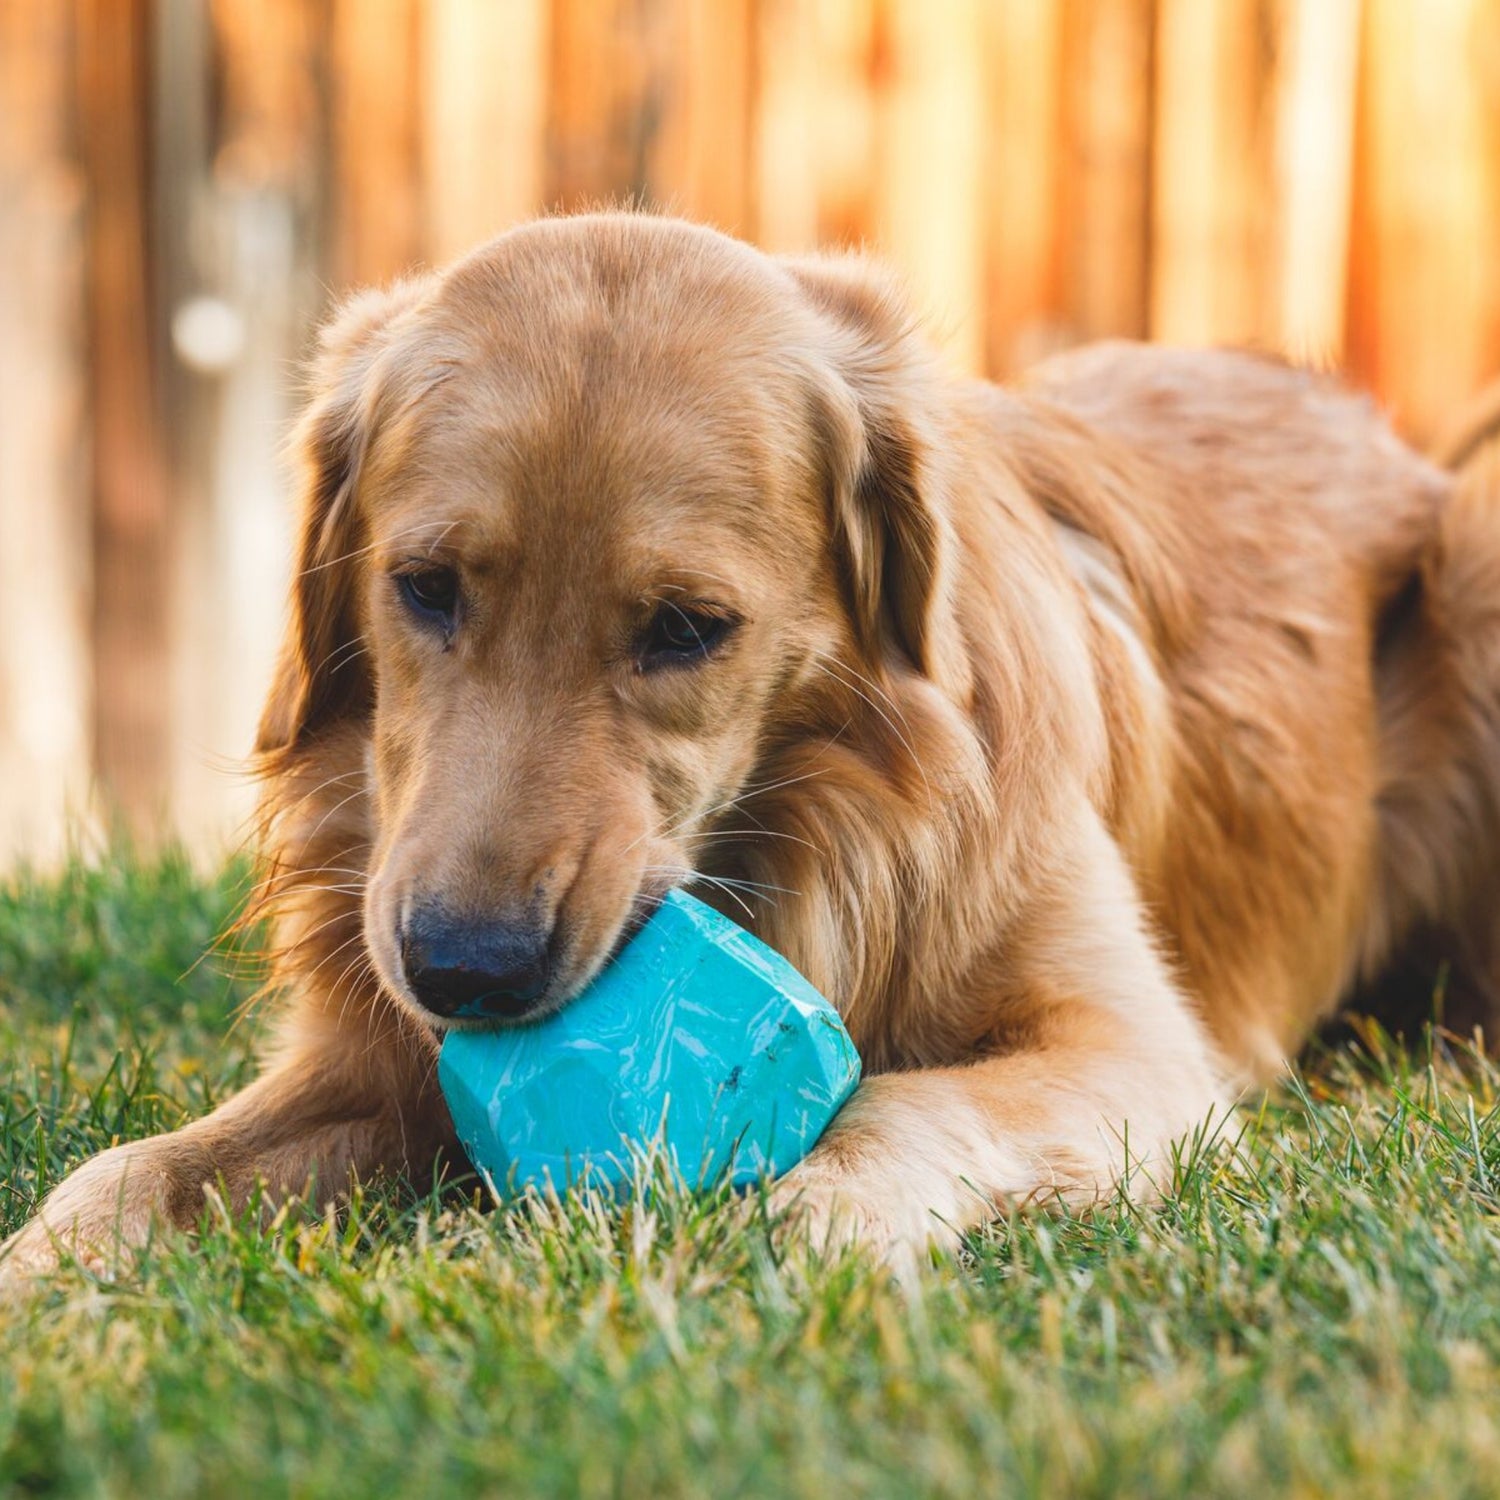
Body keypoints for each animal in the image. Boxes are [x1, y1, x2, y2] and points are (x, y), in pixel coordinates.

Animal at [2, 214, 1500, 1290]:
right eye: (423, 588)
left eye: (686, 628)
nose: (465, 971)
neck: (811, 841)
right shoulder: (368, 1061)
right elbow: (131, 1168)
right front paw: (49, 1284)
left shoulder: (1136, 1052)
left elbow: (907, 1103)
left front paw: (819, 1217)